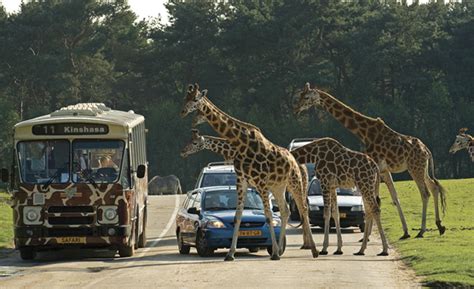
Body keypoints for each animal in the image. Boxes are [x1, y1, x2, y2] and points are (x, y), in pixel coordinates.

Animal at [181, 82, 318, 260]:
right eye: (186, 98)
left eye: (195, 100)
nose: (183, 112)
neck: (239, 143)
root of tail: (294, 161)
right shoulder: (242, 181)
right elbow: (238, 216)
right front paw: (230, 254)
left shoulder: (260, 182)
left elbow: (268, 216)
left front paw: (274, 253)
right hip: (278, 186)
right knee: (285, 210)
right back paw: (284, 248)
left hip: (294, 181)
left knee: (302, 208)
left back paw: (313, 249)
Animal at [294, 82, 446, 237]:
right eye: (300, 95)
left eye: (306, 97)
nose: (296, 110)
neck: (364, 132)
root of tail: (426, 150)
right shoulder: (383, 170)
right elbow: (394, 198)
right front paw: (405, 232)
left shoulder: (375, 167)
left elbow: (374, 201)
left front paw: (365, 237)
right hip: (422, 168)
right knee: (434, 187)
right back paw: (439, 226)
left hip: (414, 168)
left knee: (425, 193)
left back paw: (422, 230)